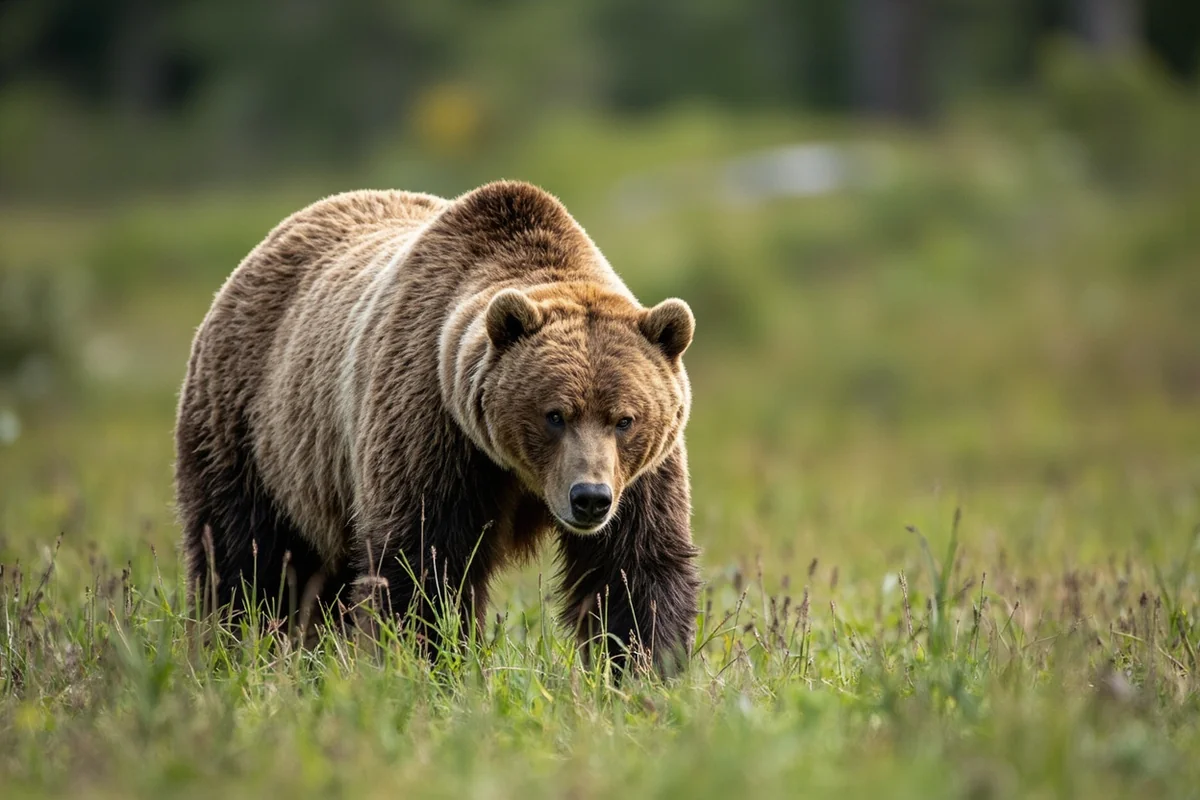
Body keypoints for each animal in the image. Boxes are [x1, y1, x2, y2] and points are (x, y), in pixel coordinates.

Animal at [174, 180, 700, 673]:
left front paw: (643, 669)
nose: (589, 498)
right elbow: (424, 564)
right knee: (245, 561)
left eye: (624, 420)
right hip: (256, 435)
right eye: (554, 414)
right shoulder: (432, 427)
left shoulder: (640, 477)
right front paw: (430, 662)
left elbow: (634, 568)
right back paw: (236, 645)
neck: (517, 472)